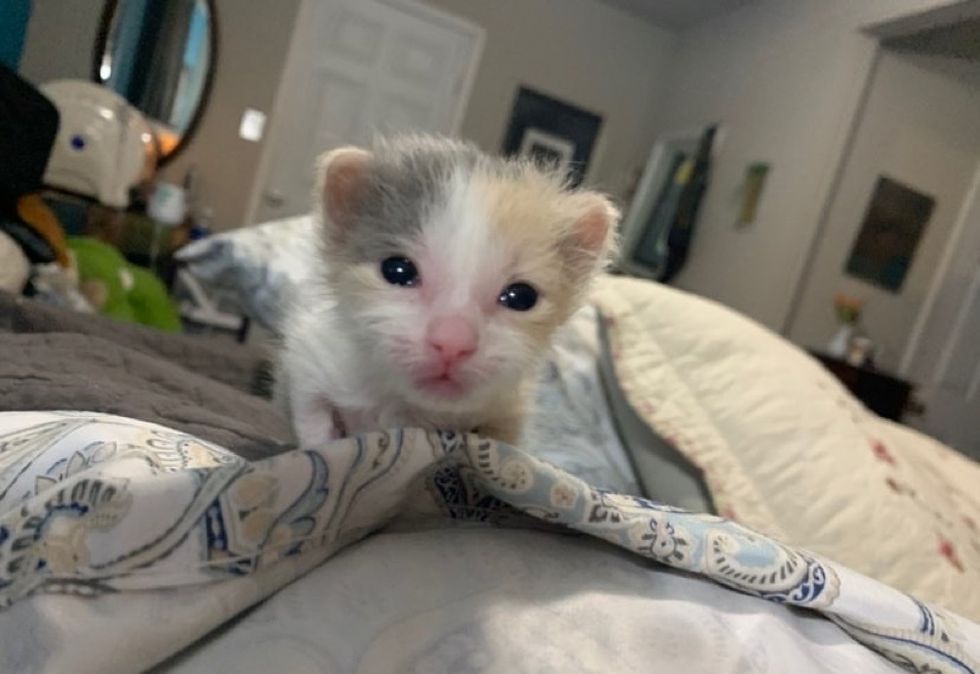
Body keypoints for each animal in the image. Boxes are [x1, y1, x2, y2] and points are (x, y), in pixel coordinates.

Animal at [282, 134, 620, 444]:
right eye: (397, 270)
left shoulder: (508, 413)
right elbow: (312, 414)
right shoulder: (311, 353)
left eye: (521, 296)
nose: (453, 343)